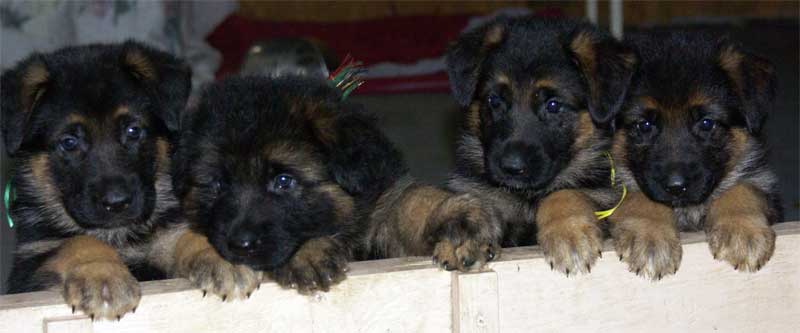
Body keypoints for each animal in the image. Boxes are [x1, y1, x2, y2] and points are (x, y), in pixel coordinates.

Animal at [0, 41, 260, 320]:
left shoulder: (164, 235)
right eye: (69, 142)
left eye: (133, 131)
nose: (117, 203)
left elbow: (182, 234)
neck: (118, 234)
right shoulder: (30, 265)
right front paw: (101, 275)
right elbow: (77, 242)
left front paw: (219, 256)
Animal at [174, 74, 500, 290]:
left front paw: (458, 218)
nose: (241, 245)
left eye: (283, 181)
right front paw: (308, 254)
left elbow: (411, 202)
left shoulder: (379, 210)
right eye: (217, 185)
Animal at [444, 16, 636, 274]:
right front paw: (464, 235)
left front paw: (569, 235)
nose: (511, 168)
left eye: (553, 105)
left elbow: (562, 193)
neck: (528, 197)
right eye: (494, 100)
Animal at [608, 32, 780, 278]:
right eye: (644, 125)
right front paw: (650, 235)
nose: (676, 187)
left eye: (706, 123)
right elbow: (639, 196)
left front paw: (743, 230)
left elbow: (743, 187)